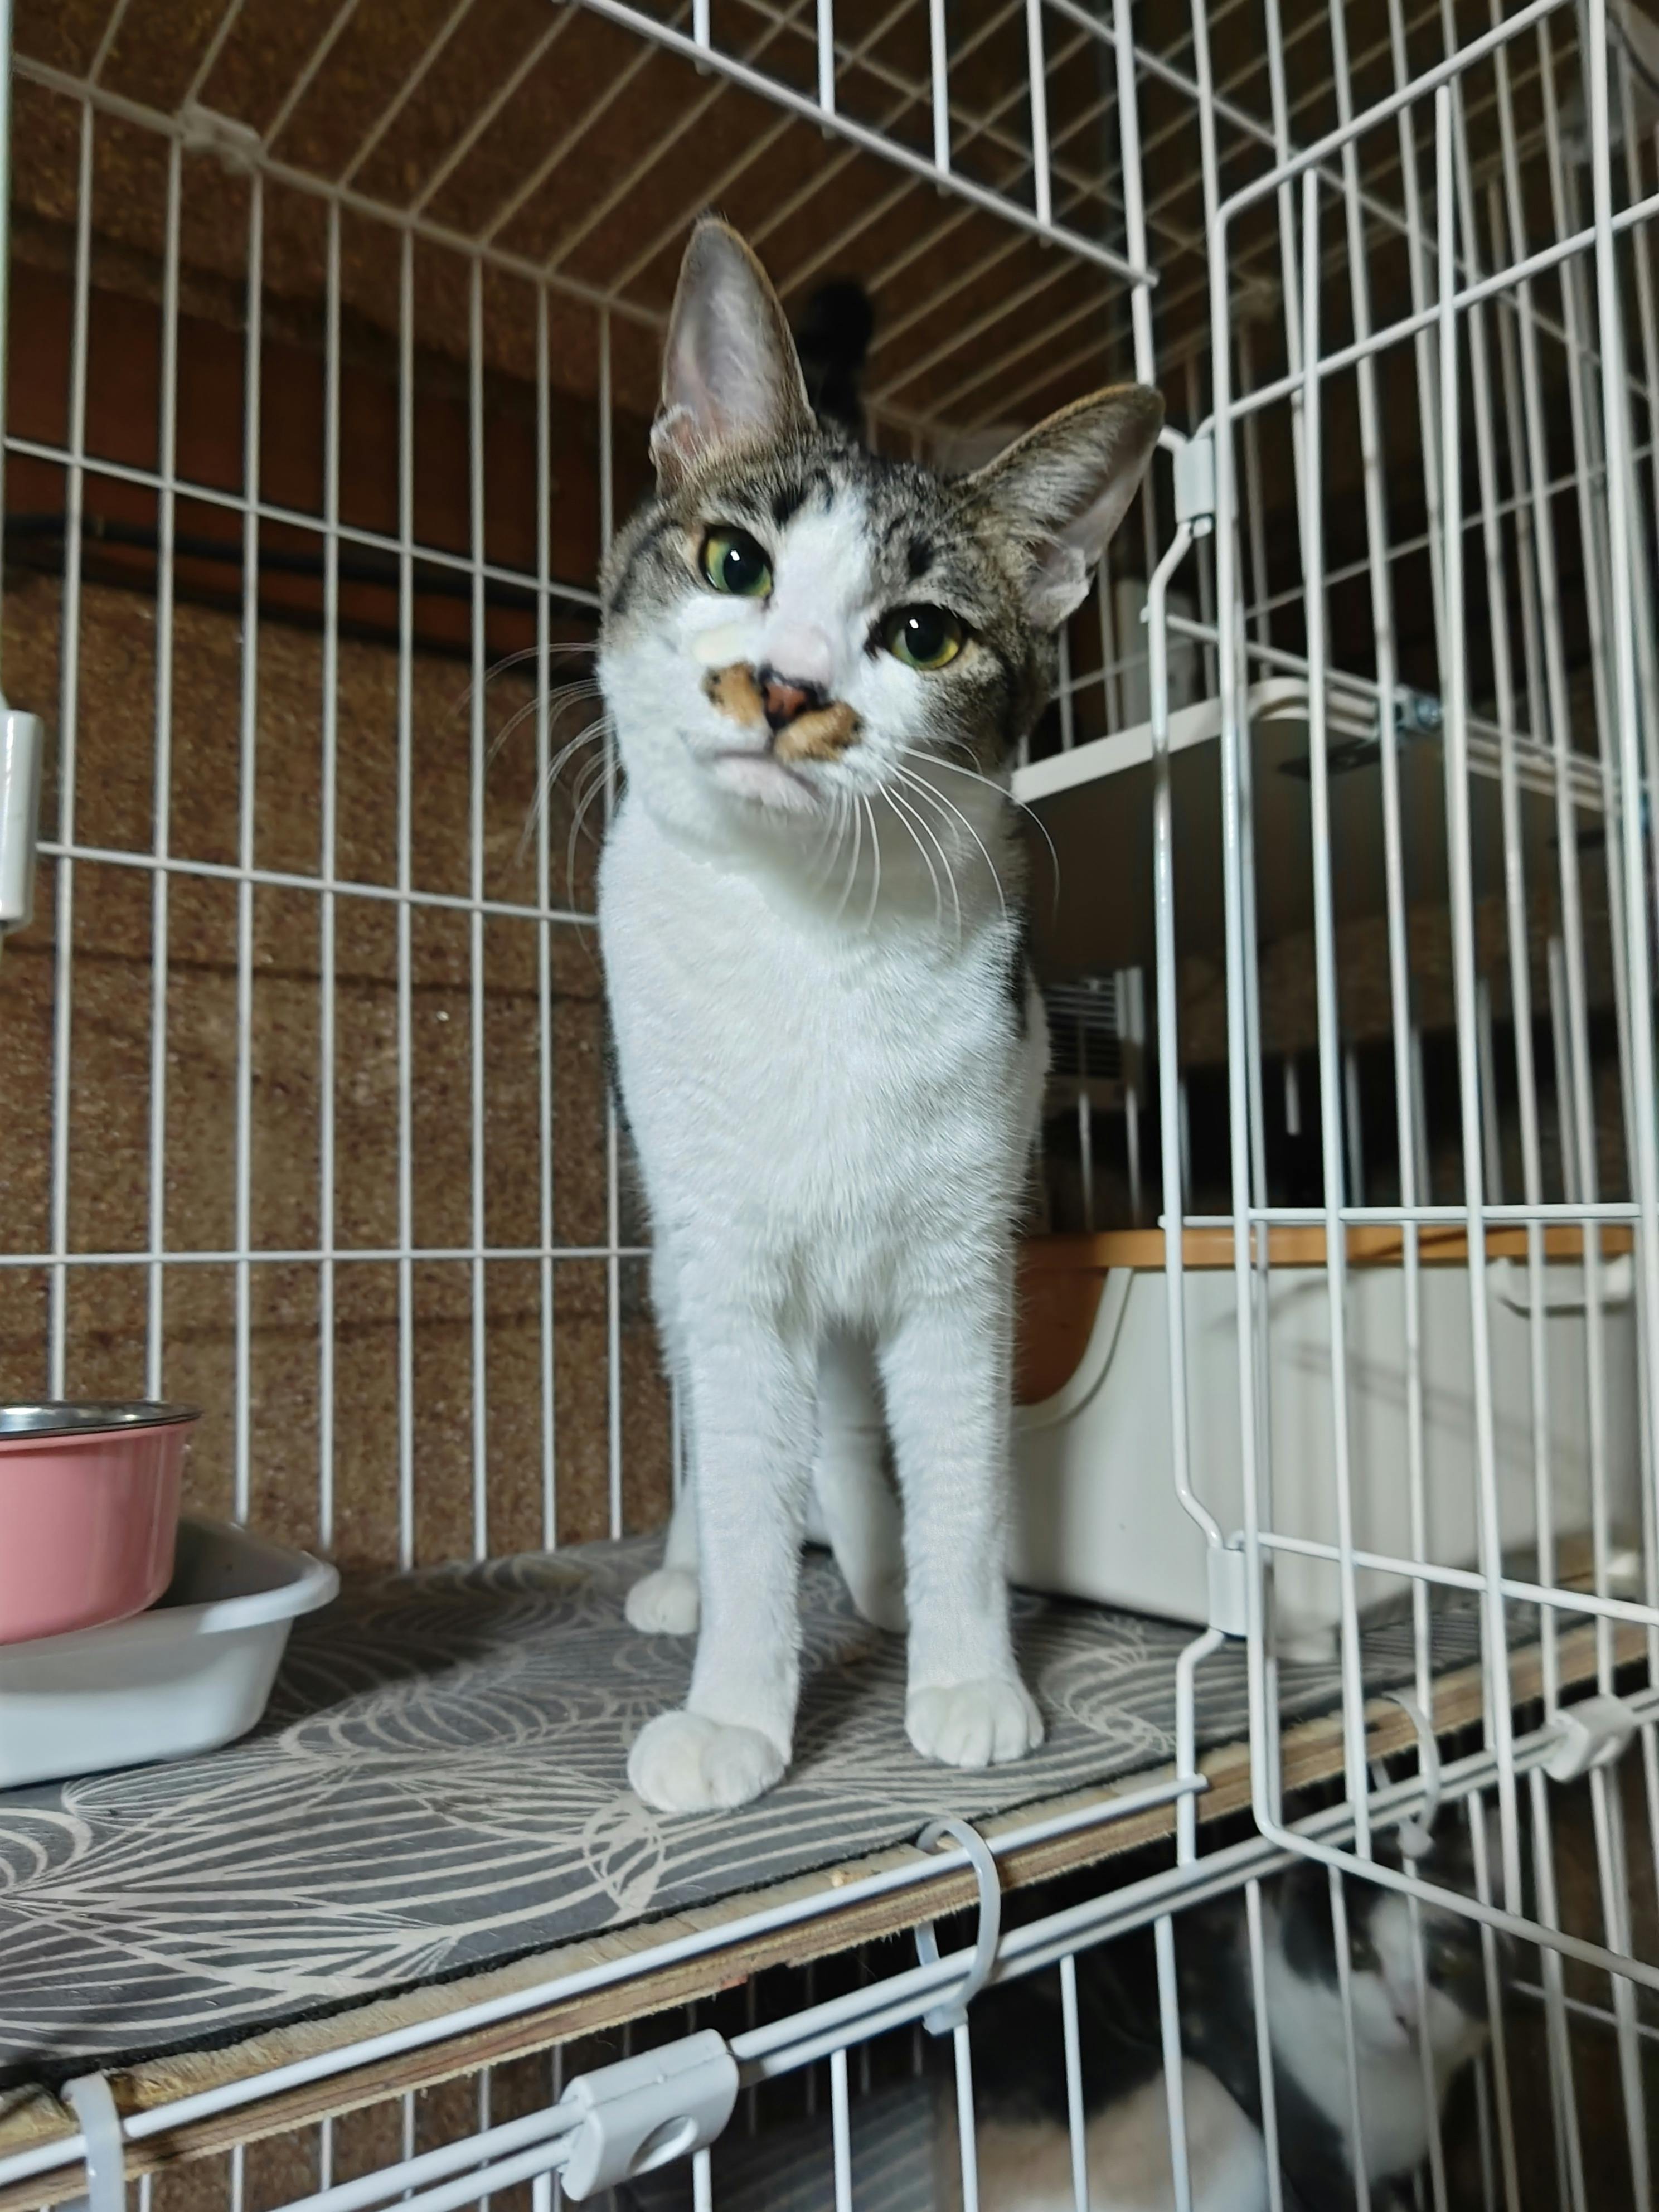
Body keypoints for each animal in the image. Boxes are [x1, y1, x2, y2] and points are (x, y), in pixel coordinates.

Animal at [597, 215, 1162, 1814]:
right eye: (735, 560)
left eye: (922, 636)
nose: (786, 686)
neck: (815, 939)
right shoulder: (722, 1249)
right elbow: (740, 1470)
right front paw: (735, 1706)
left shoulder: (962, 1248)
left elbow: (958, 1467)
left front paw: (968, 1674)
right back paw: (688, 1577)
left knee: (852, 1421)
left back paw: (879, 1567)